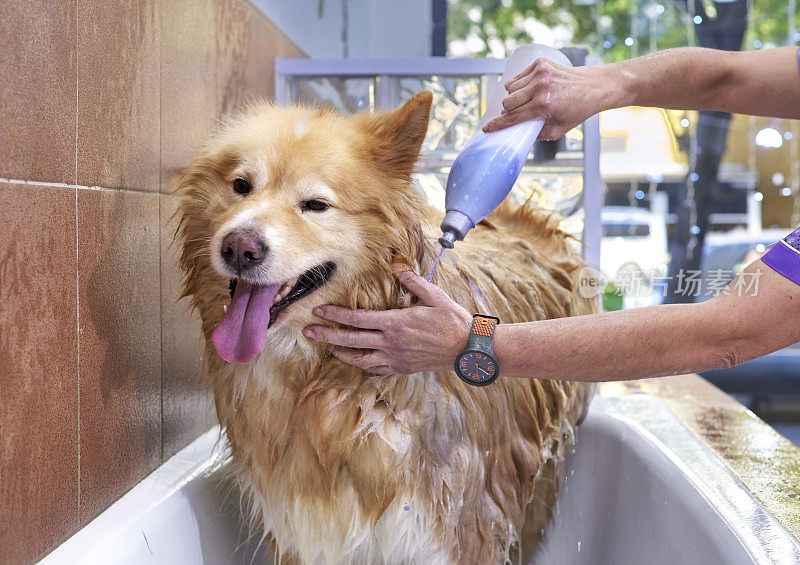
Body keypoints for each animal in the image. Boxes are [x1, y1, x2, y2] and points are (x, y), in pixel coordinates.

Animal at [178, 90, 596, 560]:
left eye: (316, 205)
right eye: (241, 186)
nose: (239, 248)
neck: (323, 384)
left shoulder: (459, 531)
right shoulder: (303, 531)